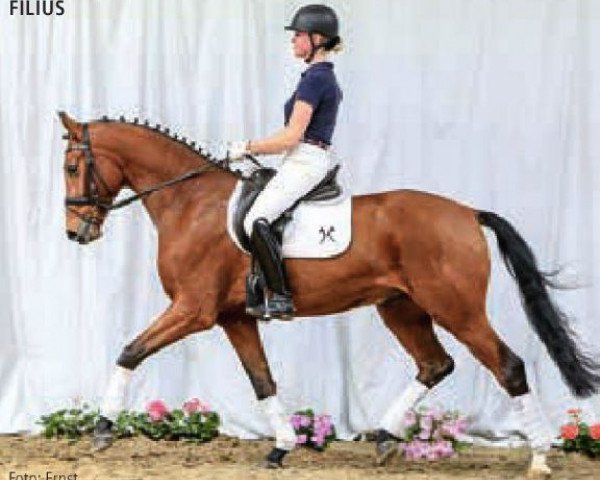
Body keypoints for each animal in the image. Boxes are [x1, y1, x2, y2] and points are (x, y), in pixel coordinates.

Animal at [57, 111, 600, 476]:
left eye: (70, 166)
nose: (75, 233)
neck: (191, 203)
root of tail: (467, 212)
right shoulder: (235, 317)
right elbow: (262, 381)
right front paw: (280, 447)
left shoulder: (193, 309)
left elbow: (130, 351)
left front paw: (102, 430)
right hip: (401, 308)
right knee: (435, 364)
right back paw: (383, 437)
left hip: (457, 308)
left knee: (508, 366)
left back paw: (539, 457)